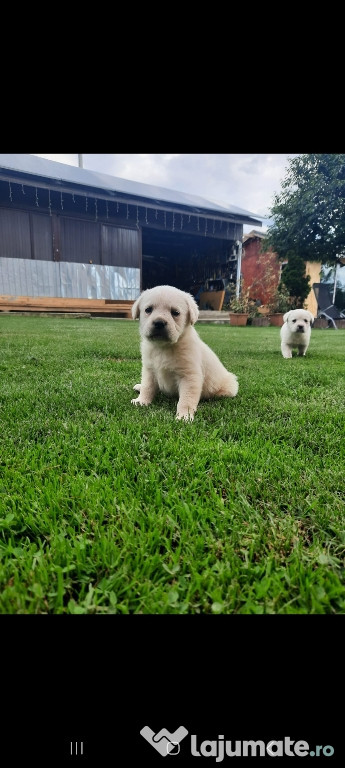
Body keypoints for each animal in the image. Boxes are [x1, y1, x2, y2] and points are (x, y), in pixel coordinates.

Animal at [130, 284, 238, 424]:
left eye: (175, 313)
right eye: (148, 310)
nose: (159, 323)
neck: (163, 348)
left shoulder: (189, 377)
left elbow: (186, 399)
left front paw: (184, 416)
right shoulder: (149, 370)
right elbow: (147, 387)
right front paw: (142, 401)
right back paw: (139, 386)